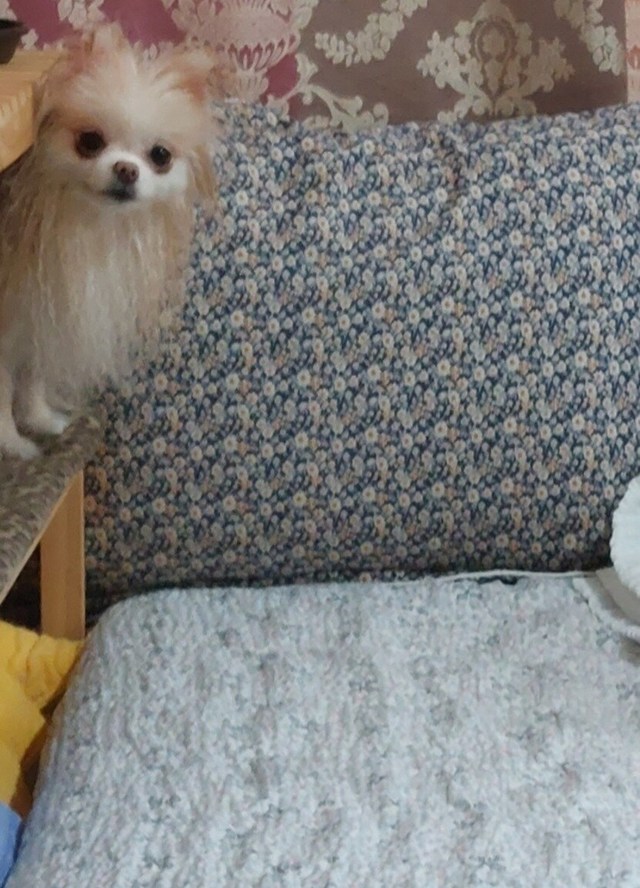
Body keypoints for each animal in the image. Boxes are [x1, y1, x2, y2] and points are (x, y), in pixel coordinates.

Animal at [0, 24, 217, 458]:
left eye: (160, 155)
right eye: (90, 141)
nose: (126, 170)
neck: (85, 222)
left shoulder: (39, 314)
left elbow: (32, 378)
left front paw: (42, 423)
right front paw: (14, 448)